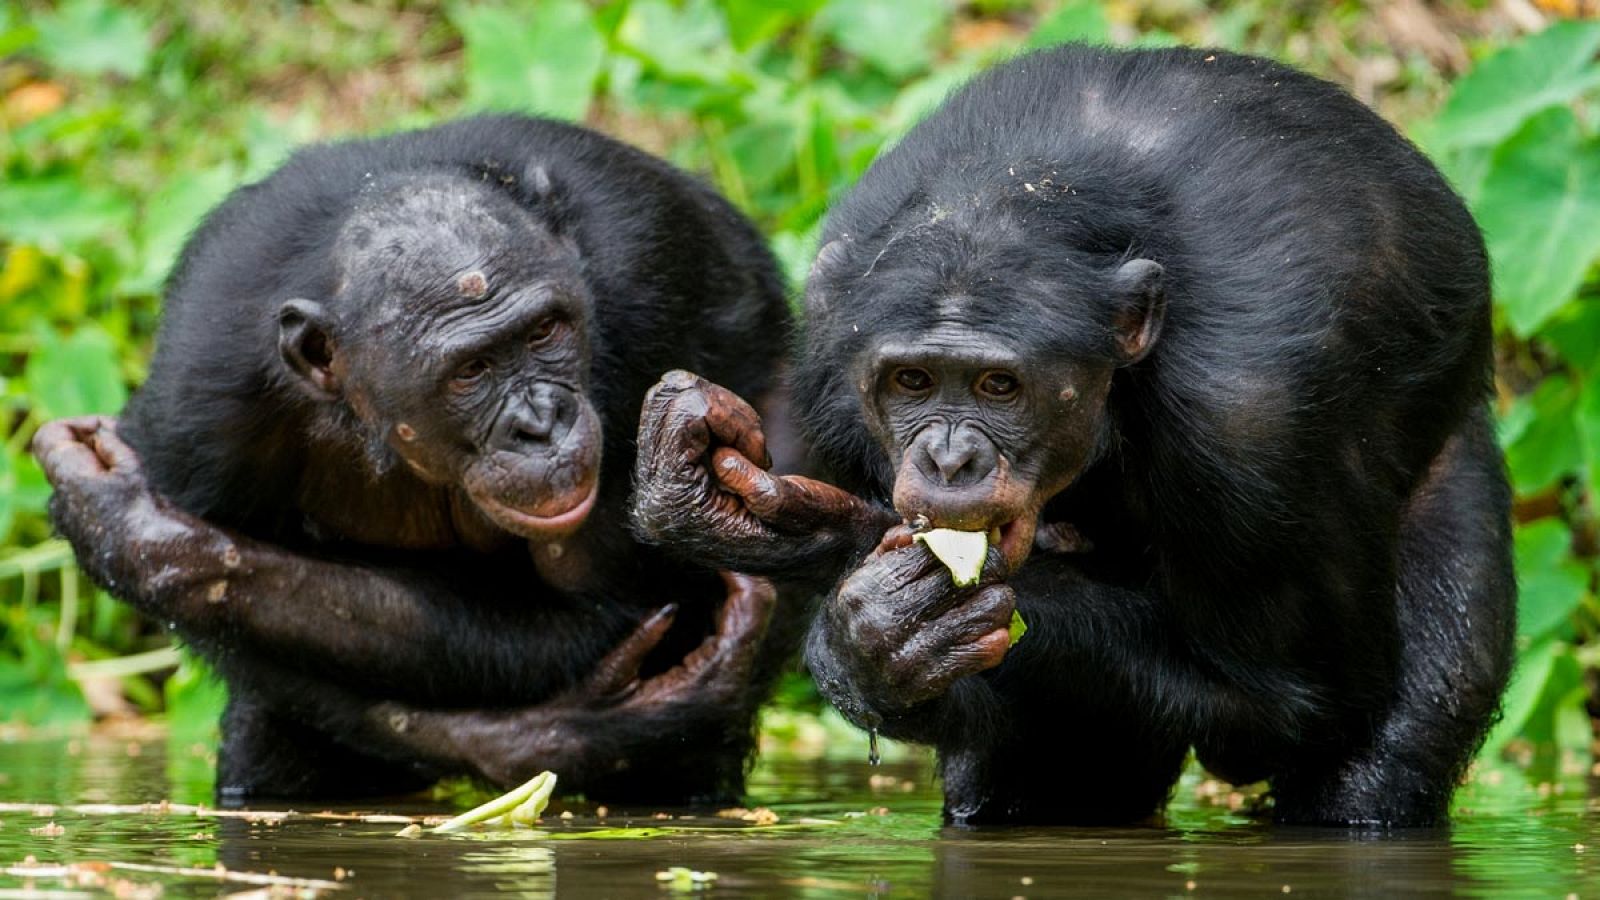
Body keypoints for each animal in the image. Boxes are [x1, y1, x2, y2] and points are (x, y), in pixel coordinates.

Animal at [40, 112, 800, 797]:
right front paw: (141, 535)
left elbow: (603, 607)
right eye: (471, 370)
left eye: (545, 332)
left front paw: (138, 532)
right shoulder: (197, 404)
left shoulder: (649, 287)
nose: (541, 422)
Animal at [630, 45, 1516, 826]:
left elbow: (1294, 701)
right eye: (913, 381)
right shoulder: (826, 369)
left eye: (999, 386)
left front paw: (843, 577)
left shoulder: (1260, 416)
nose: (948, 456)